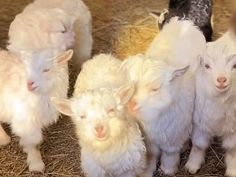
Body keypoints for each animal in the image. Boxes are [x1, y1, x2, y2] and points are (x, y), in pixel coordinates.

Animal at [121, 18, 206, 176]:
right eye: (131, 84)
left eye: (155, 89)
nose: (132, 104)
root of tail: (184, 22)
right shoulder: (149, 137)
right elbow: (152, 153)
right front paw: (147, 171)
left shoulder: (174, 133)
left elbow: (170, 153)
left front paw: (168, 169)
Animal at [185, 29, 236, 177]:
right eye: (207, 66)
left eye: (235, 66)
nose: (221, 80)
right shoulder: (200, 122)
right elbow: (198, 145)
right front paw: (192, 165)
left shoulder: (233, 127)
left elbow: (232, 149)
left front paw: (232, 169)